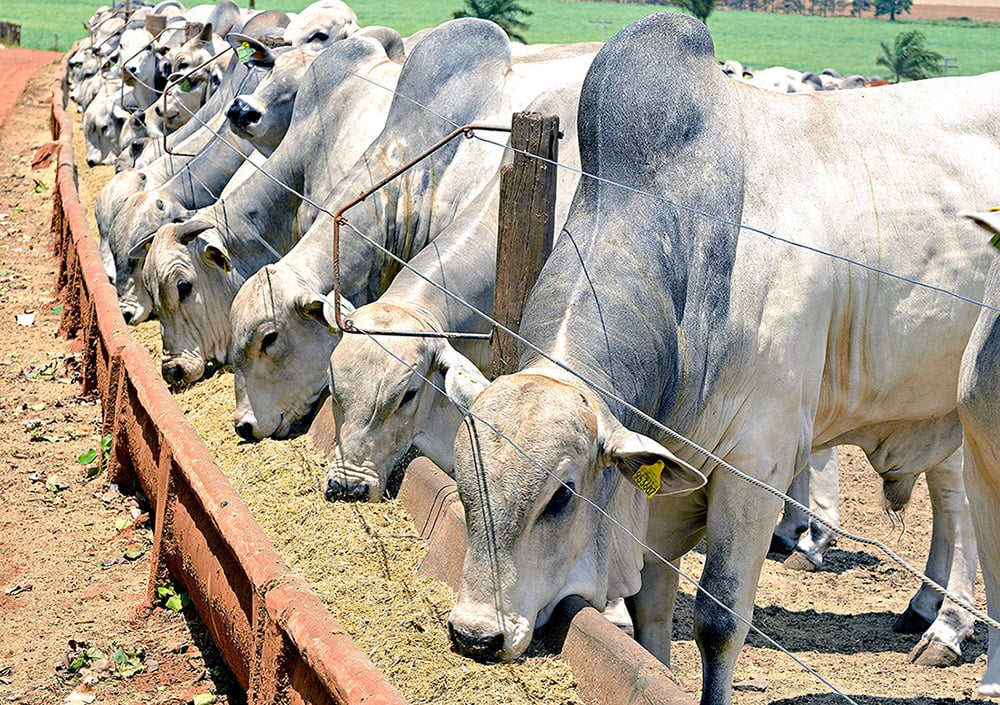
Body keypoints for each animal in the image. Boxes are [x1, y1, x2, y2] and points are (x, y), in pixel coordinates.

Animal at [446, 12, 1000, 704]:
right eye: (463, 482)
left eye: (561, 496)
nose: (474, 635)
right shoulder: (662, 478)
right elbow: (651, 607)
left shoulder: (757, 466)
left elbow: (718, 618)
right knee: (955, 505)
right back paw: (928, 615)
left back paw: (956, 637)